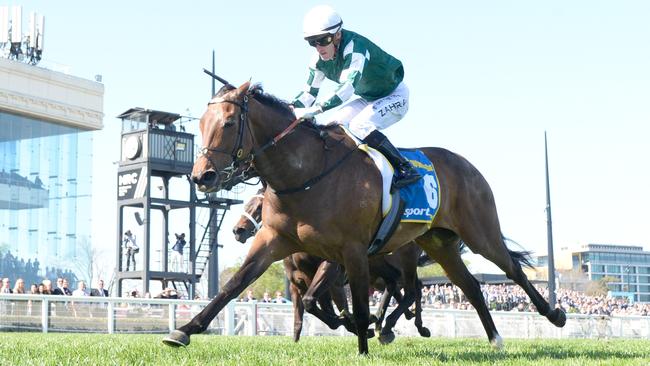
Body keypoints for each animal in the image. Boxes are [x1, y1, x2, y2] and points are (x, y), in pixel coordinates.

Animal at [163, 83, 560, 354]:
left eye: (229, 123)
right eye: (201, 123)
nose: (202, 176)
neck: (307, 174)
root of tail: (466, 165)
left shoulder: (347, 252)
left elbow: (348, 298)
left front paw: (362, 335)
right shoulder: (274, 241)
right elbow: (234, 285)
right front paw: (185, 330)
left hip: (480, 232)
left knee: (512, 269)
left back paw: (553, 314)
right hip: (440, 242)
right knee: (471, 286)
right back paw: (494, 339)